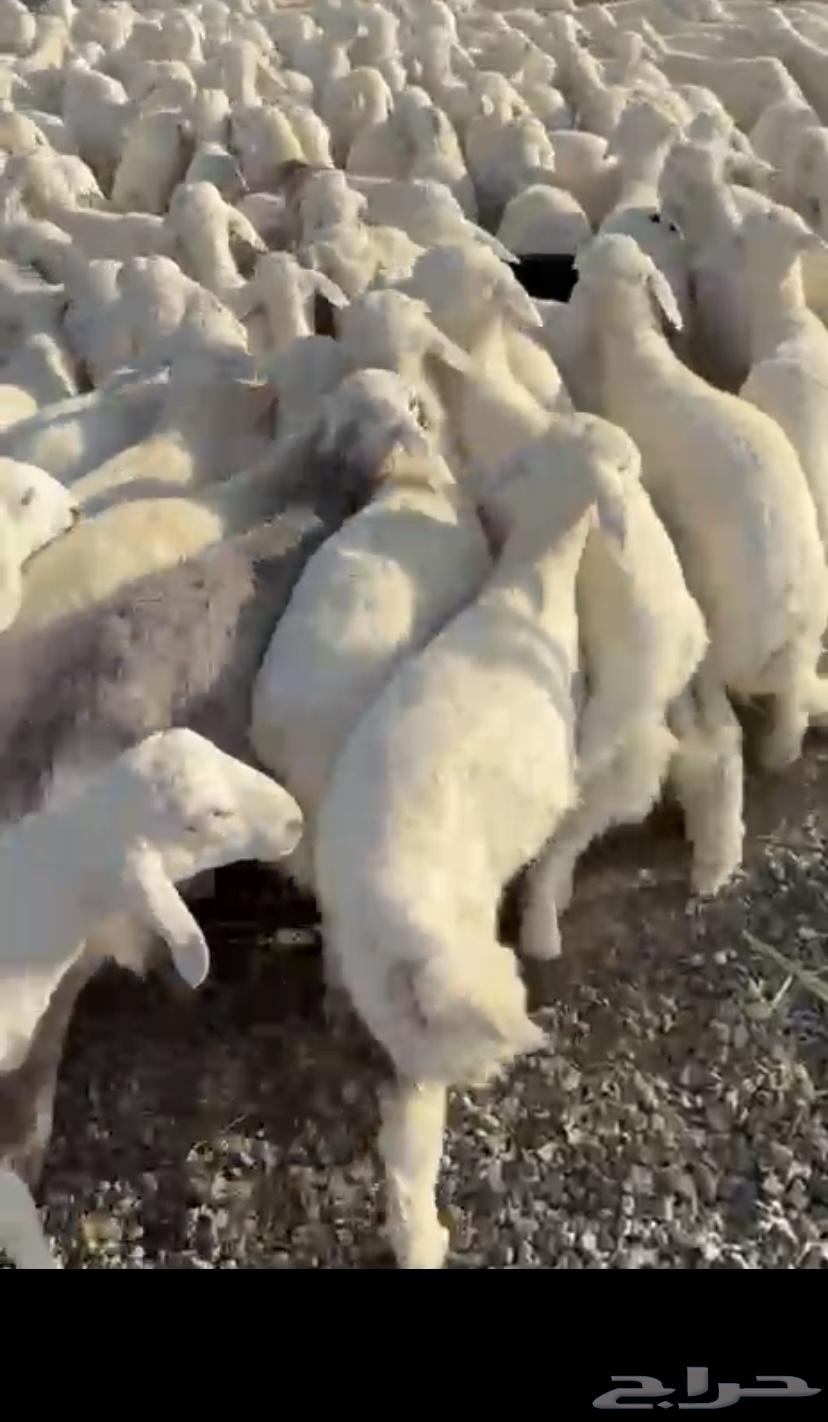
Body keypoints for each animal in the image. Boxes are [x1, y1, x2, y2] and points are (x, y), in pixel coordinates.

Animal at [313, 414, 631, 1269]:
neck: (527, 593)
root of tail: (393, 932)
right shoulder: (562, 786)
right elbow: (554, 858)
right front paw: (548, 922)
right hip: (453, 999)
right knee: (410, 1145)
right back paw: (426, 1234)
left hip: (395, 1006)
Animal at [577, 234, 828, 882]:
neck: (640, 358)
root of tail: (791, 614)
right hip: (791, 646)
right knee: (789, 707)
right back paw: (781, 750)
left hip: (721, 631)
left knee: (725, 728)